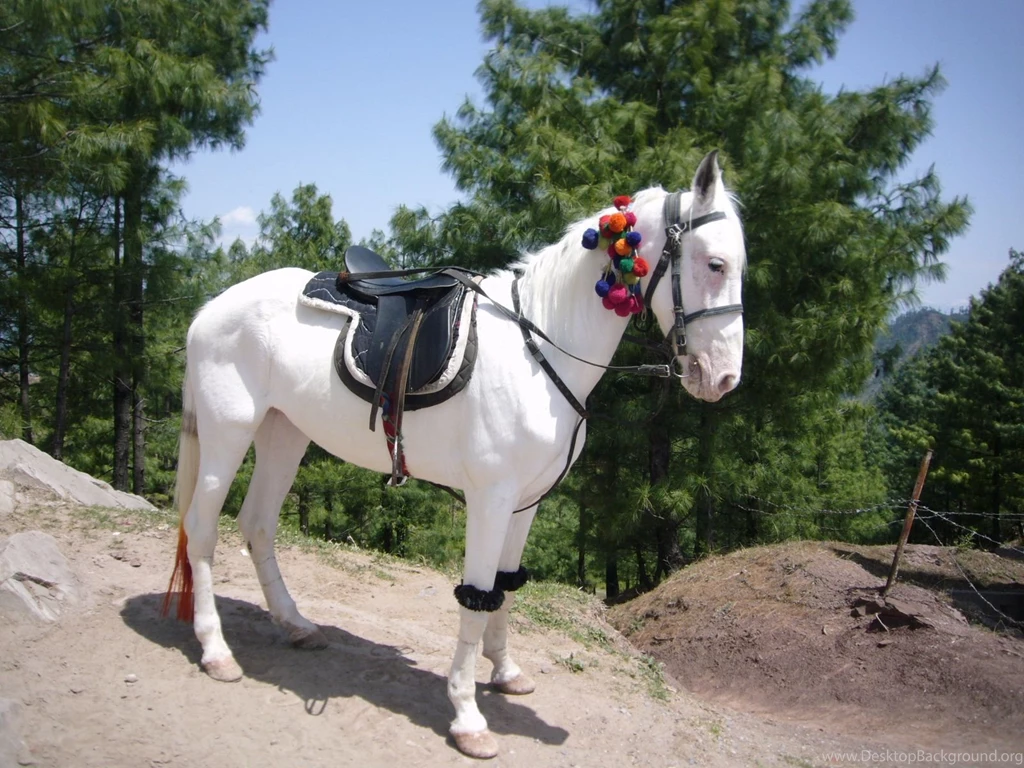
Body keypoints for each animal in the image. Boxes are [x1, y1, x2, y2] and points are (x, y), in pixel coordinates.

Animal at [162, 150, 746, 759]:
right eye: (715, 263)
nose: (724, 378)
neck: (538, 348)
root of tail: (213, 307)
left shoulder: (527, 502)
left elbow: (505, 590)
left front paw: (505, 673)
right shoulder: (490, 500)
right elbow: (475, 597)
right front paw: (467, 716)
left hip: (284, 433)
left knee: (257, 525)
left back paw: (295, 624)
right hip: (229, 431)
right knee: (202, 528)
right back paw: (216, 650)